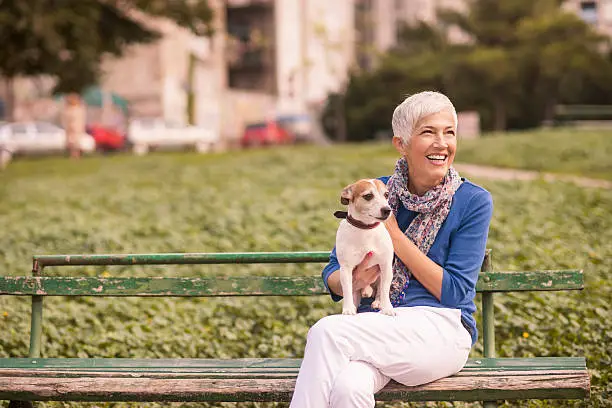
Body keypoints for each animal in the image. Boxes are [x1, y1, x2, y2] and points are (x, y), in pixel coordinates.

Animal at [334, 178, 396, 316]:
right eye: (368, 196)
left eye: (386, 194)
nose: (387, 210)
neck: (366, 229)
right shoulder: (346, 269)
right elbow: (347, 290)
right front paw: (348, 308)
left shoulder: (386, 265)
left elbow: (384, 290)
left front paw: (387, 308)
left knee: (379, 290)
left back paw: (377, 302)